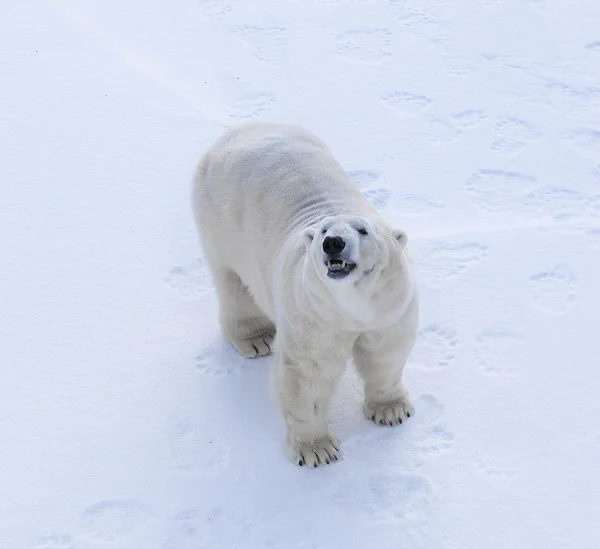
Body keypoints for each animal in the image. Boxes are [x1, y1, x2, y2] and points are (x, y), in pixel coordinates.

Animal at [192, 122, 418, 464]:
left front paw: (392, 411)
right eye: (324, 230)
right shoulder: (312, 315)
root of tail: (237, 131)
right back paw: (256, 338)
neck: (352, 307)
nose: (333, 243)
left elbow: (385, 353)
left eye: (363, 230)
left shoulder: (390, 306)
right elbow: (307, 375)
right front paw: (316, 450)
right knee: (234, 284)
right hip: (220, 223)